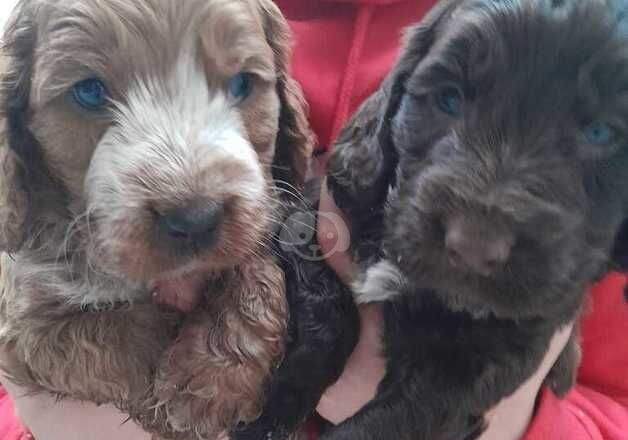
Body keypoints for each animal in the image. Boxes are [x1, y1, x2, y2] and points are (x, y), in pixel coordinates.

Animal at [0, 0, 312, 436]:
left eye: (241, 84)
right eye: (89, 92)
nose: (196, 219)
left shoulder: (260, 214)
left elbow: (256, 271)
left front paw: (209, 380)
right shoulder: (23, 326)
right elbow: (116, 337)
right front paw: (175, 404)